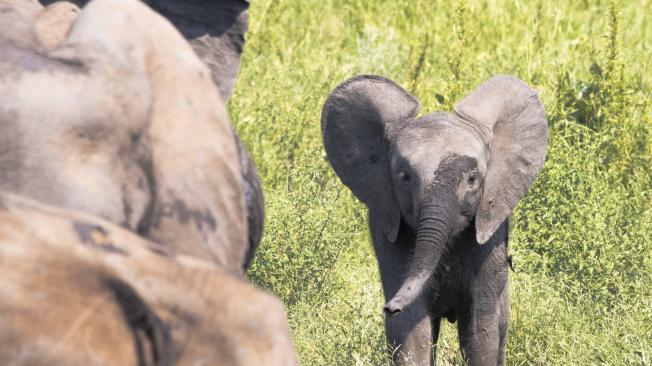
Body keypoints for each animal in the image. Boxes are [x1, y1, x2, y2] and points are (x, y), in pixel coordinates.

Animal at [324, 75, 548, 366]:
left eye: (472, 179)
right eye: (404, 176)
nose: (390, 307)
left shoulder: (490, 232)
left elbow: (481, 331)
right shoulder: (391, 234)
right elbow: (411, 332)